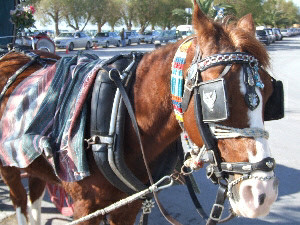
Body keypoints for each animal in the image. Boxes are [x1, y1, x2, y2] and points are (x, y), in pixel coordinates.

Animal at [0, 1, 278, 225]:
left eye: (270, 94)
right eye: (215, 97)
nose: (261, 194)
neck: (120, 118)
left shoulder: (128, 205)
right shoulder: (84, 208)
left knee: (34, 195)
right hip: (8, 165)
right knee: (21, 202)